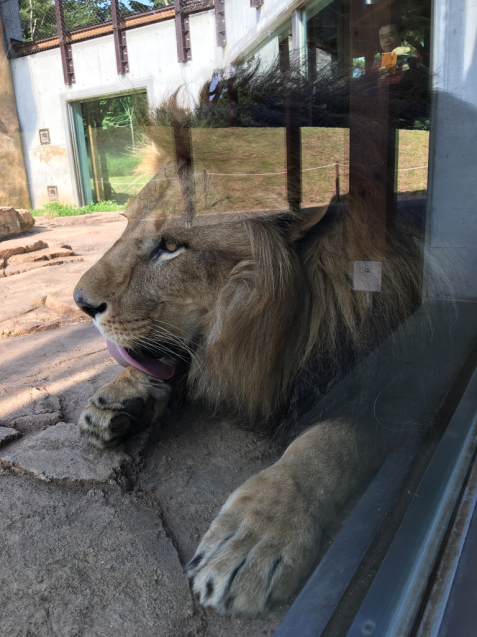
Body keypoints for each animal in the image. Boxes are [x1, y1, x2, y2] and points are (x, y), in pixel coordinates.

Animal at [73, 66, 424, 616]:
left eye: (171, 246)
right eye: (126, 224)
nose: (79, 303)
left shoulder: (404, 374)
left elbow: (324, 443)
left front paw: (254, 538)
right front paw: (120, 392)